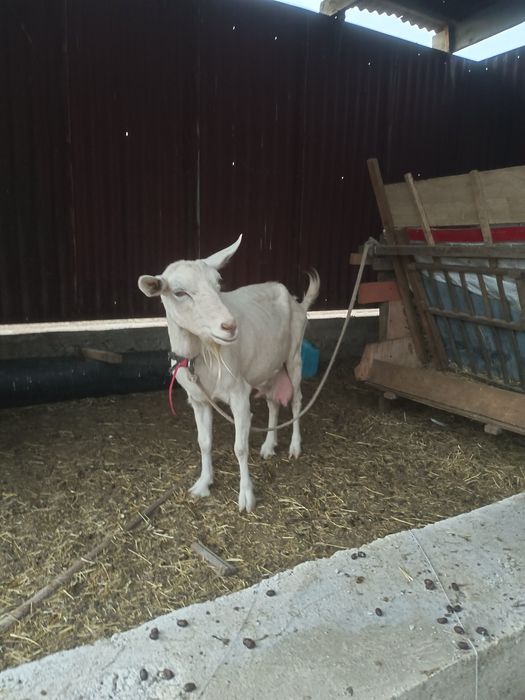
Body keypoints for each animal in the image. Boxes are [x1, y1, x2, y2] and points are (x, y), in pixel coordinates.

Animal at [138, 236, 320, 512]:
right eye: (179, 292)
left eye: (218, 283)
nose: (230, 326)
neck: (201, 355)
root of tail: (297, 302)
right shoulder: (198, 400)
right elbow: (204, 442)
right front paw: (203, 484)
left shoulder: (238, 393)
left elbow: (240, 447)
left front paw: (246, 497)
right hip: (268, 366)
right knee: (273, 402)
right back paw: (269, 445)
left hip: (294, 354)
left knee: (297, 400)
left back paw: (294, 447)